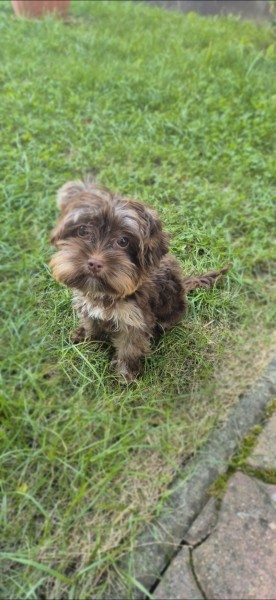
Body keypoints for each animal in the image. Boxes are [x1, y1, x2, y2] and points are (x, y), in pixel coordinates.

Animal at [50, 180, 229, 382]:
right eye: (82, 230)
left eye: (123, 241)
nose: (94, 263)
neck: (106, 293)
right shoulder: (87, 305)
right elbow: (91, 324)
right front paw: (88, 338)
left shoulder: (135, 320)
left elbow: (130, 348)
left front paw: (125, 375)